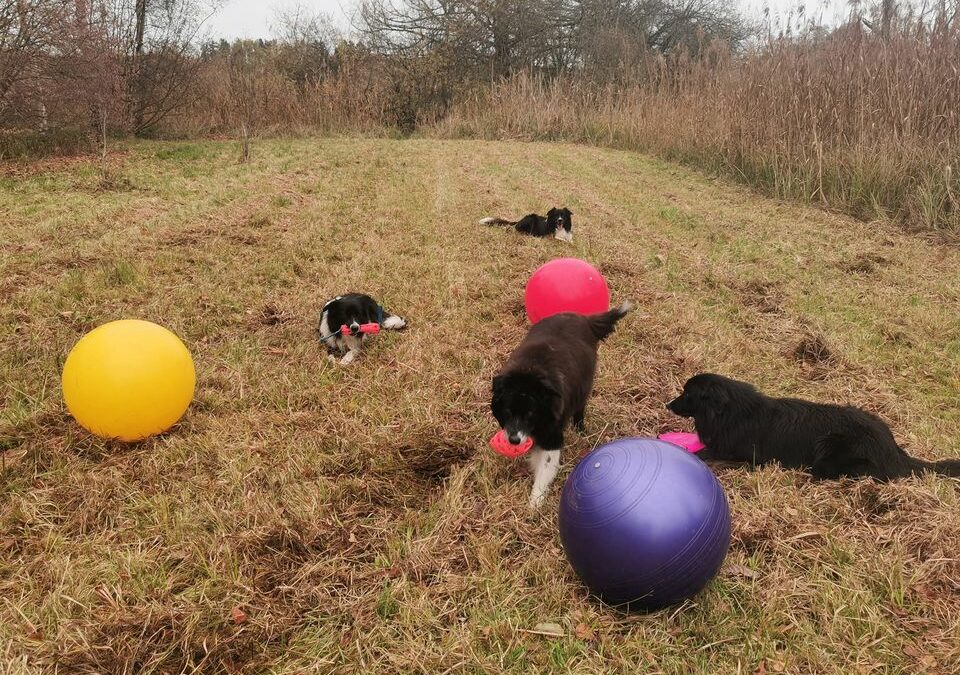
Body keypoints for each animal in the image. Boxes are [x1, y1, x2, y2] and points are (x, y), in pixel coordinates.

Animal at [492, 304, 632, 510]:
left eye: (530, 413)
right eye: (508, 410)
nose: (514, 441)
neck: (530, 372)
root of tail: (584, 319)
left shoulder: (553, 434)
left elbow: (545, 467)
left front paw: (534, 503)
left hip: (584, 386)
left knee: (580, 409)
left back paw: (581, 430)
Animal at [668, 374, 960, 480]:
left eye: (687, 394)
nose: (667, 404)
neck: (730, 413)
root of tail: (895, 451)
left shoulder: (744, 454)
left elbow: (708, 453)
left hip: (830, 443)